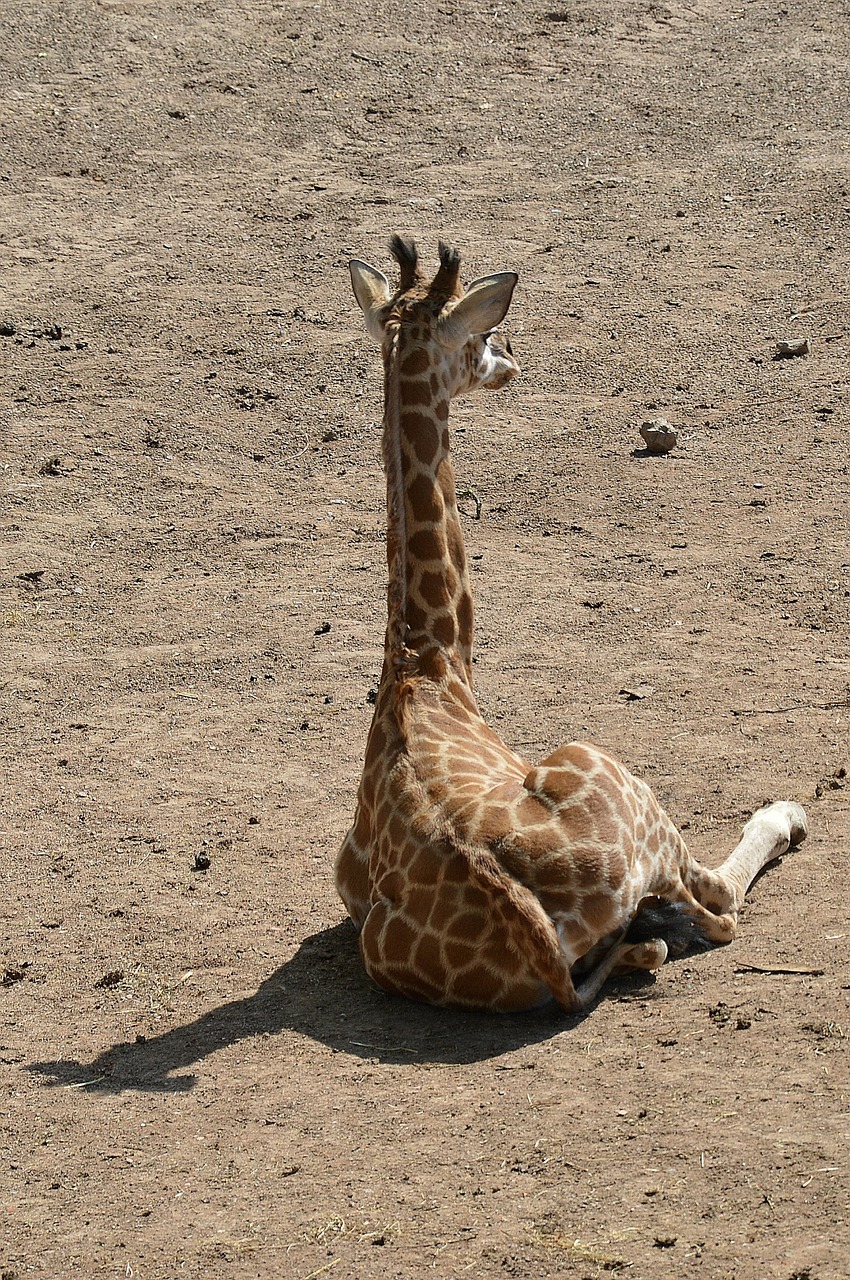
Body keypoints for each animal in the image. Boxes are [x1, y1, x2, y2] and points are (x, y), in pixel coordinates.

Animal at [332, 240, 803, 1013]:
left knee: (666, 935)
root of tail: (532, 933)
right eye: (483, 335)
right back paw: (787, 813)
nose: (511, 358)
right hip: (616, 777)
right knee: (719, 907)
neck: (427, 663)